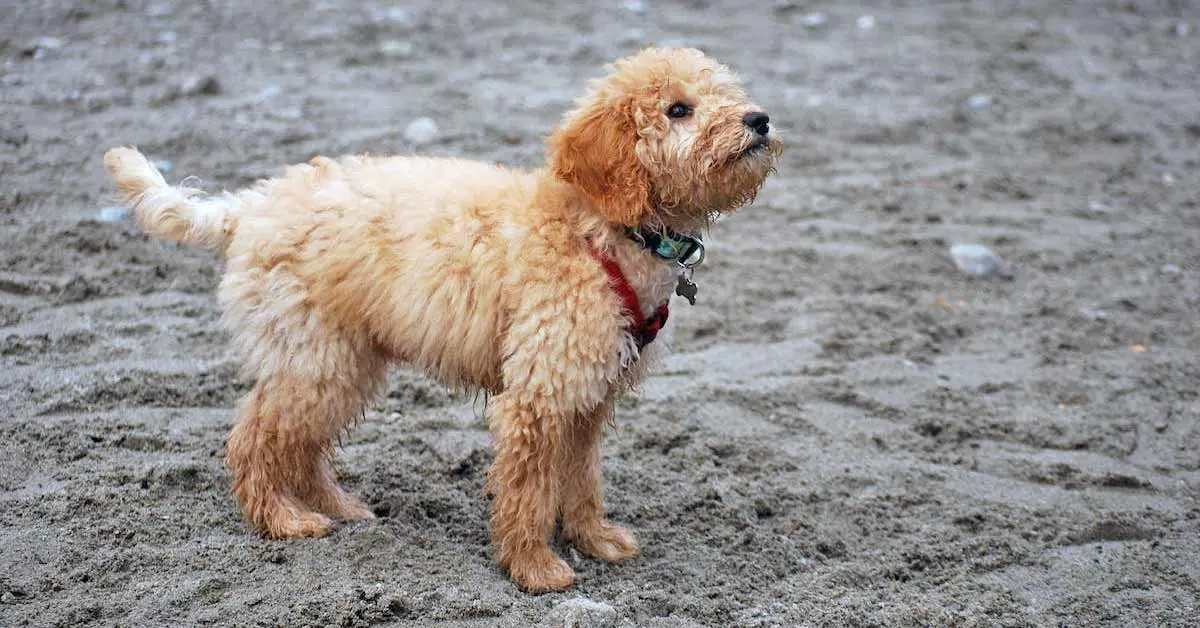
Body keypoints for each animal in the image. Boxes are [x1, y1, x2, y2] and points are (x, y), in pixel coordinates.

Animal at [100, 46, 777, 593]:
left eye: (725, 93)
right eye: (678, 110)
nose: (760, 119)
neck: (601, 230)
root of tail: (251, 207)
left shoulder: (588, 396)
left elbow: (582, 479)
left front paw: (596, 540)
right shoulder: (538, 394)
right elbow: (529, 490)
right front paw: (535, 569)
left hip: (342, 360)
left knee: (301, 446)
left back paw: (339, 507)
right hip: (315, 356)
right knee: (254, 441)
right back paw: (285, 521)